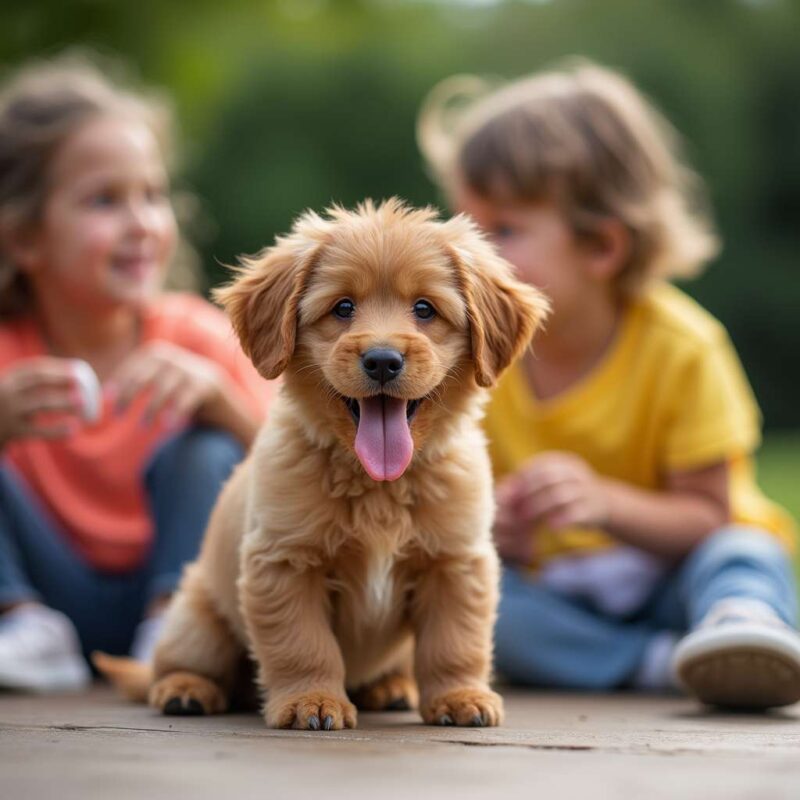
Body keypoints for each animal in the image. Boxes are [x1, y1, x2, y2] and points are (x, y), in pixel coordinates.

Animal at [92, 197, 544, 728]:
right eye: (343, 308)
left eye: (425, 309)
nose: (383, 360)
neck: (378, 485)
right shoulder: (284, 562)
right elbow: (303, 644)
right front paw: (312, 701)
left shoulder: (455, 561)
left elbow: (455, 642)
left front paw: (460, 696)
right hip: (196, 620)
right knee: (177, 664)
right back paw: (186, 689)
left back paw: (392, 687)